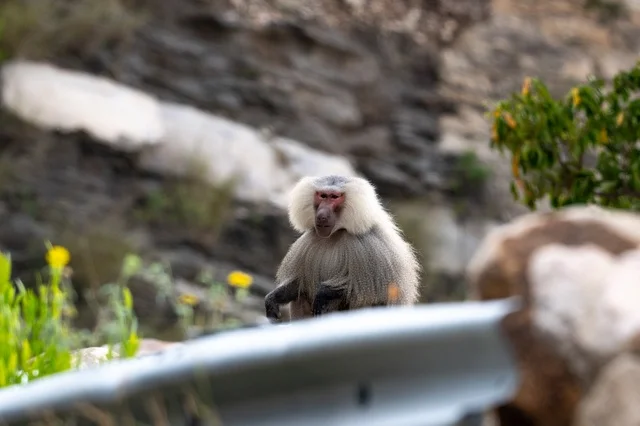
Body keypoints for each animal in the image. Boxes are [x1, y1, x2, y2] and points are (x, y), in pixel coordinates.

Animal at [264, 174, 421, 322]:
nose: (322, 216)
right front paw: (272, 300)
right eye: (322, 195)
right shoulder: (309, 244)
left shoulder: (368, 247)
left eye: (334, 197)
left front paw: (323, 293)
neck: (334, 234)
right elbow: (299, 284)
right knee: (300, 297)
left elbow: (371, 291)